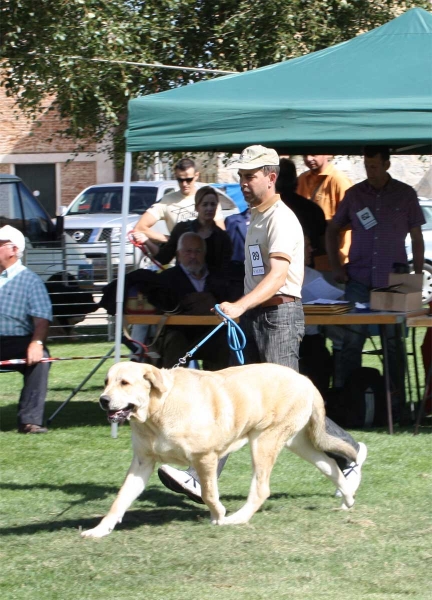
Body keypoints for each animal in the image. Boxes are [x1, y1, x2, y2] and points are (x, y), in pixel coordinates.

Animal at [81, 360, 358, 540]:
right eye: (106, 382)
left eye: (125, 382)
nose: (103, 400)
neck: (159, 409)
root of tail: (305, 379)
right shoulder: (142, 462)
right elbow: (120, 500)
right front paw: (99, 530)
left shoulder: (205, 457)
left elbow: (208, 493)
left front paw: (219, 516)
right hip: (296, 442)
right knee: (330, 465)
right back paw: (347, 499)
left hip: (263, 441)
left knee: (261, 489)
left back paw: (238, 519)